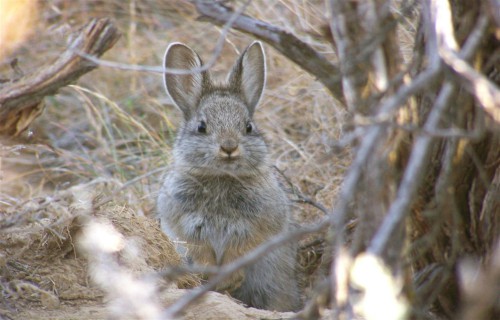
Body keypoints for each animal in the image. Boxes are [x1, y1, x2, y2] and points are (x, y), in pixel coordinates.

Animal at [156, 40, 300, 312]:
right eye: (201, 127)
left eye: (248, 126)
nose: (229, 147)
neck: (221, 177)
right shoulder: (184, 225)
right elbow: (199, 251)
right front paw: (211, 277)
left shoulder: (257, 226)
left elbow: (243, 250)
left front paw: (229, 279)